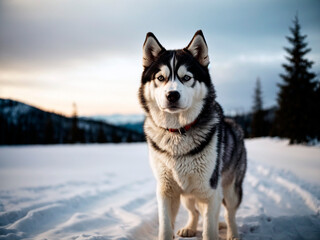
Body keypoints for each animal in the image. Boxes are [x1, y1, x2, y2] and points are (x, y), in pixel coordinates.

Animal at [139, 30, 246, 240]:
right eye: (161, 78)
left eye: (187, 77)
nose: (172, 95)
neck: (177, 133)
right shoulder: (166, 190)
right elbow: (166, 226)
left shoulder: (211, 190)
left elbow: (210, 229)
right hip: (188, 194)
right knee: (194, 211)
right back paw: (189, 227)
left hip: (230, 189)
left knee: (229, 213)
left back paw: (233, 233)